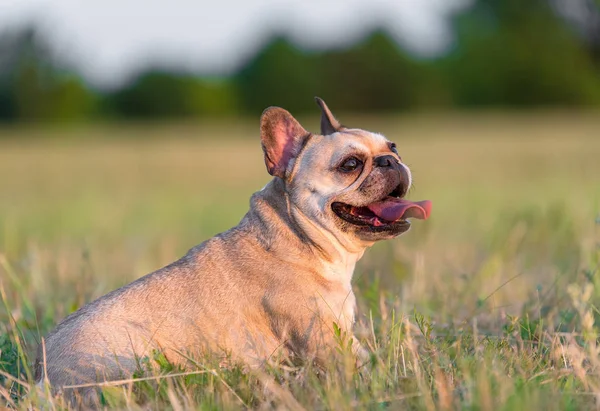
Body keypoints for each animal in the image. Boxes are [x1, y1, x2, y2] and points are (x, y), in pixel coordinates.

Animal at [34, 99, 432, 406]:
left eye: (393, 147)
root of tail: (41, 374)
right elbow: (359, 367)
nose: (390, 161)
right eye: (350, 165)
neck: (299, 237)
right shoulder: (326, 342)